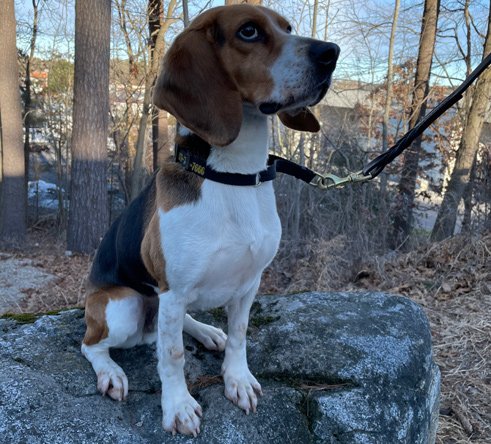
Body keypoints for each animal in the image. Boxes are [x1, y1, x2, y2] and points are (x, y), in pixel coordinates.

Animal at [82, 3, 340, 438]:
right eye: (249, 31)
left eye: (287, 27)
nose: (330, 53)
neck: (233, 174)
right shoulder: (173, 288)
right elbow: (172, 357)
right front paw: (178, 407)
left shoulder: (250, 282)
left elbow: (239, 335)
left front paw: (237, 380)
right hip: (123, 306)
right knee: (93, 344)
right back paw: (111, 373)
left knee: (179, 324)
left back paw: (206, 332)